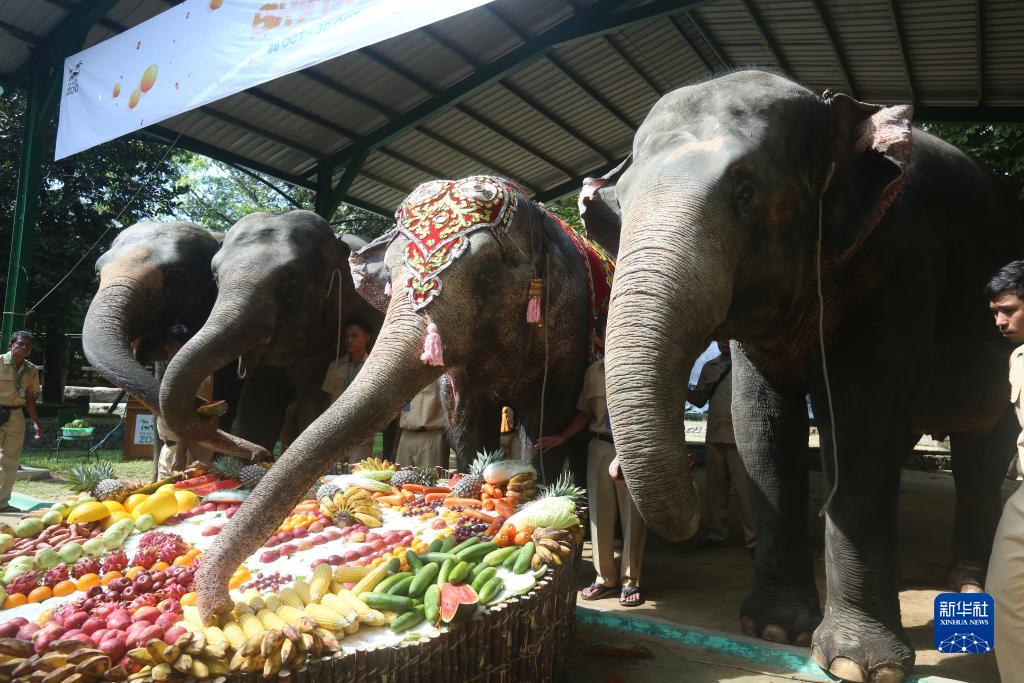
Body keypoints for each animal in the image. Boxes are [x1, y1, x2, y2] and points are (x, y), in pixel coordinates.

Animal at [598, 70, 1024, 683]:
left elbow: (862, 423)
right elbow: (759, 424)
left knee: (984, 437)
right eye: (622, 201)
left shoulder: (902, 258)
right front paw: (776, 631)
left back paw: (966, 585)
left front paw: (857, 664)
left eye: (746, 194)